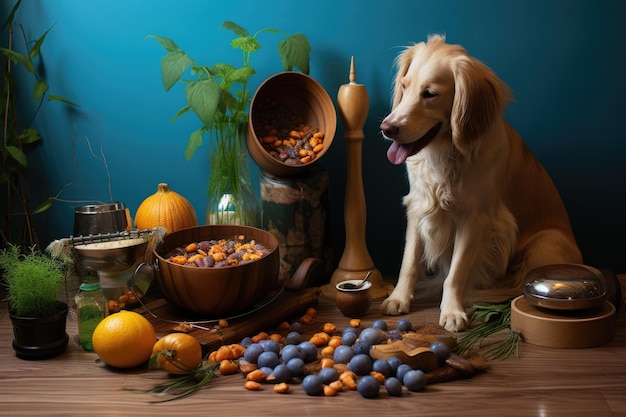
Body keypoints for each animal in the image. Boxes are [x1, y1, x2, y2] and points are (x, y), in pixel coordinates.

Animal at [378, 34, 584, 330]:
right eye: (404, 87)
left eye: (429, 94)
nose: (386, 128)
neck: (446, 154)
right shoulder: (418, 205)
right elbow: (409, 262)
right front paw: (398, 298)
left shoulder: (475, 219)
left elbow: (456, 272)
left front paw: (451, 310)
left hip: (544, 243)